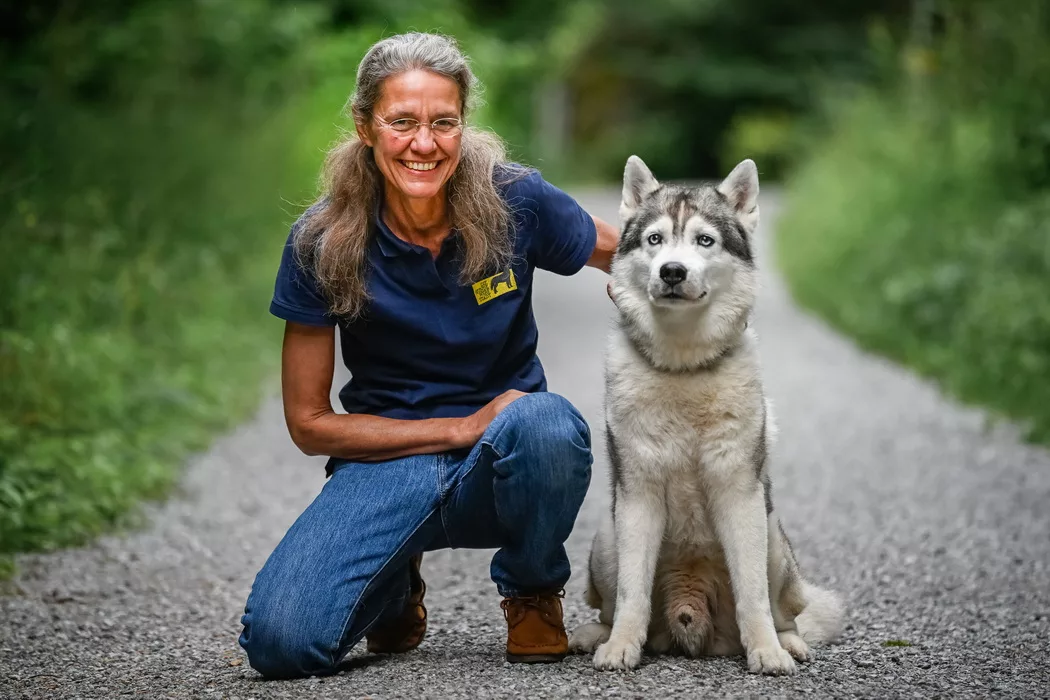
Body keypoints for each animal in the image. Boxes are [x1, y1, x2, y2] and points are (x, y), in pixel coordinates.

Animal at [567, 157, 844, 671]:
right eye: (655, 239)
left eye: (705, 241)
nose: (673, 272)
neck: (684, 368)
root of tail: (690, 610)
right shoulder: (637, 498)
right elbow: (633, 594)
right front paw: (621, 646)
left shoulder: (740, 494)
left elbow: (753, 595)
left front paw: (766, 652)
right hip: (606, 539)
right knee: (610, 605)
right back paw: (595, 634)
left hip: (773, 537)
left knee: (785, 611)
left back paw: (788, 642)